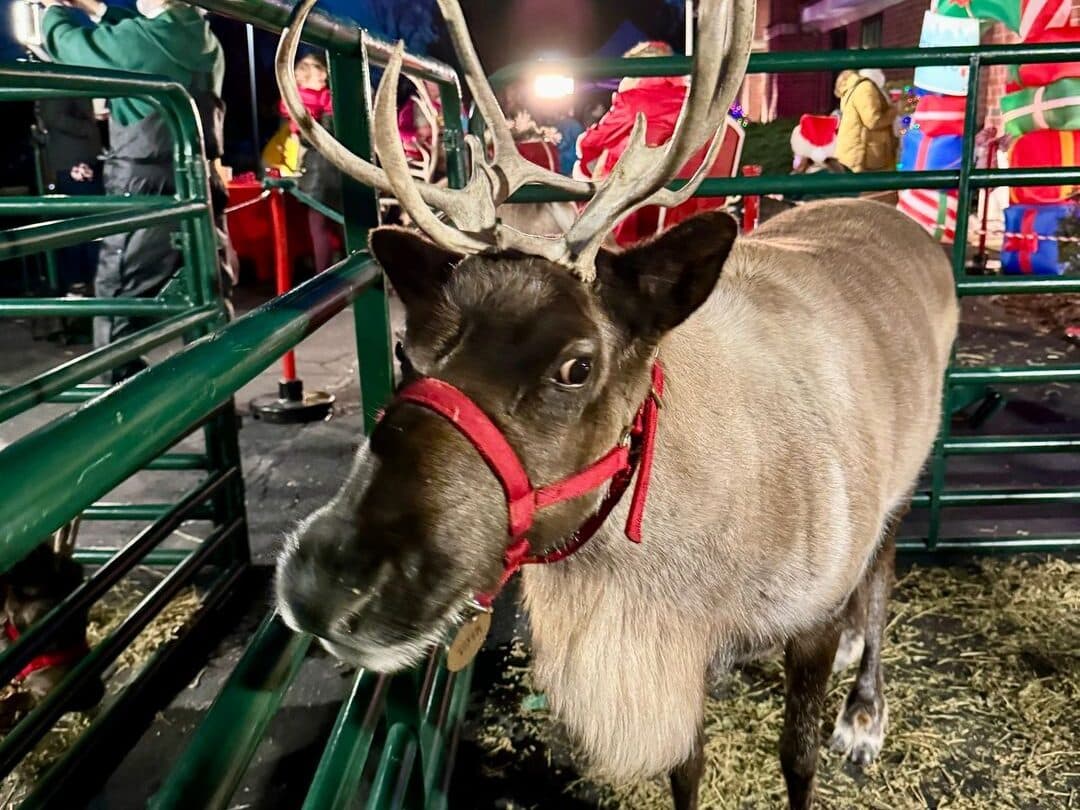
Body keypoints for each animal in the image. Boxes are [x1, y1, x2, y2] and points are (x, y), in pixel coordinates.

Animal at [272, 0, 959, 807]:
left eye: (577, 365)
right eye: (409, 351)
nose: (323, 579)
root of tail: (902, 222)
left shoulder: (805, 619)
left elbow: (797, 761)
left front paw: (840, 729)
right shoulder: (678, 656)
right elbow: (685, 766)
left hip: (912, 463)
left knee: (881, 571)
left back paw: (863, 710)